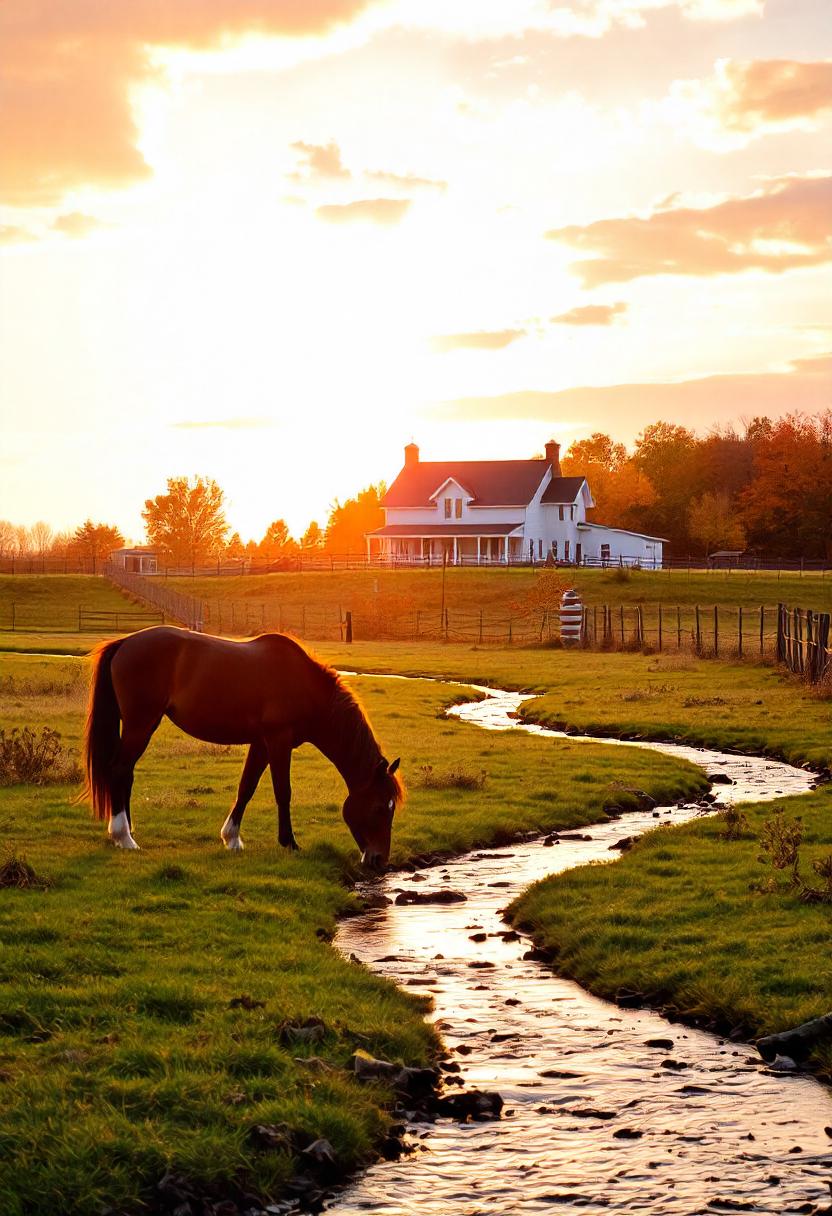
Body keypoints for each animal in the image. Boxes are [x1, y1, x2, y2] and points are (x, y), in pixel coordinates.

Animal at [81, 626, 403, 869]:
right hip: (140, 724)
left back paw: (127, 830)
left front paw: (232, 838)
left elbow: (246, 787)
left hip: (144, 726)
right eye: (380, 807)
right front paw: (289, 842)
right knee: (119, 770)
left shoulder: (261, 743)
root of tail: (125, 643)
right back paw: (123, 837)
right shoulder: (278, 741)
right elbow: (283, 792)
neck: (305, 685)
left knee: (127, 773)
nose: (378, 859)